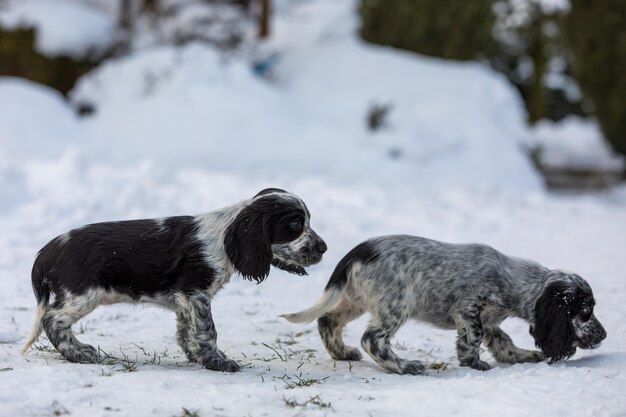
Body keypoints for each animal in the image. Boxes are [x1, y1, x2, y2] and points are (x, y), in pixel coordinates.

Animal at [23, 188, 326, 370]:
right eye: (295, 225)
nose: (323, 247)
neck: (224, 235)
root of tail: (47, 251)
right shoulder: (196, 292)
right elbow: (207, 330)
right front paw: (218, 362)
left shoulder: (185, 300)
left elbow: (186, 329)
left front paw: (195, 355)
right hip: (83, 294)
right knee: (51, 319)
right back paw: (78, 353)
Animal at [282, 234, 604, 374]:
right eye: (586, 312)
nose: (604, 335)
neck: (513, 280)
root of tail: (358, 252)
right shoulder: (469, 307)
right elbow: (474, 336)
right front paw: (473, 362)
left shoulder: (489, 319)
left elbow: (502, 341)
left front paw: (521, 356)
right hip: (396, 304)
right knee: (371, 339)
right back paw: (405, 366)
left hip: (355, 300)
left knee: (327, 320)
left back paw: (342, 353)